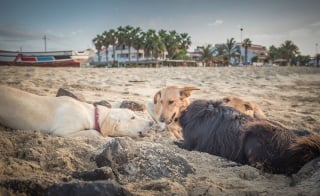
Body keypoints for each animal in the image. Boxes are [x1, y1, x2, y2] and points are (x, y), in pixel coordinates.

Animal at [176, 99, 320, 175]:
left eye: (186, 109)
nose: (179, 116)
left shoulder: (191, 144)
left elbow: (179, 143)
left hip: (254, 135)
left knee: (259, 166)